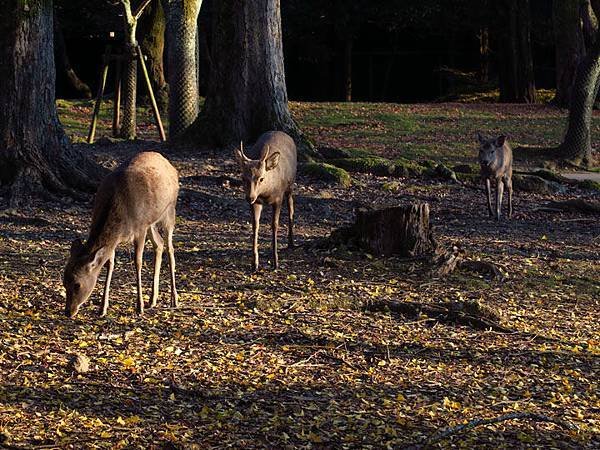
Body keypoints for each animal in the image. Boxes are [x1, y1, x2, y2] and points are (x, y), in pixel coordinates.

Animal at [65, 153, 179, 318]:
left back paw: (174, 299)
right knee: (159, 244)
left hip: (169, 211)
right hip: (150, 222)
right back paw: (152, 299)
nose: (68, 311)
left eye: (77, 284)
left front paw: (139, 307)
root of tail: (169, 164)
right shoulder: (116, 239)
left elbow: (138, 262)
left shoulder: (140, 229)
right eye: (64, 281)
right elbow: (109, 264)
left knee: (170, 248)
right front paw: (102, 308)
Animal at [236, 130, 298, 270]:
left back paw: (291, 242)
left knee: (291, 207)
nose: (249, 197)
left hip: (290, 185)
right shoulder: (256, 203)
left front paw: (275, 262)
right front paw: (254, 263)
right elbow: (255, 225)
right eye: (243, 178)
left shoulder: (278, 199)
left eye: (261, 178)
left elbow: (274, 225)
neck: (266, 193)